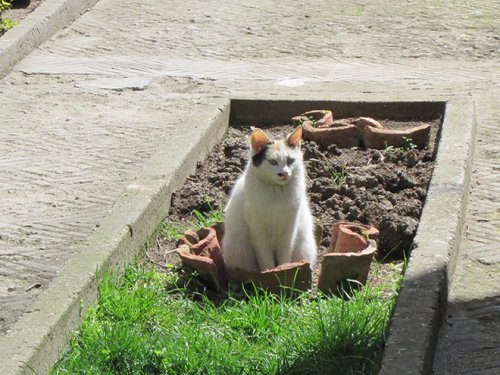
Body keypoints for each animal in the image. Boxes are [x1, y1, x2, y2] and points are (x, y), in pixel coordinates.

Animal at [222, 126, 316, 274]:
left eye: (290, 161)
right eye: (272, 162)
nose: (284, 174)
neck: (276, 192)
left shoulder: (289, 229)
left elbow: (285, 254)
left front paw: (283, 268)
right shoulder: (257, 230)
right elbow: (264, 257)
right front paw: (269, 271)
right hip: (238, 248)